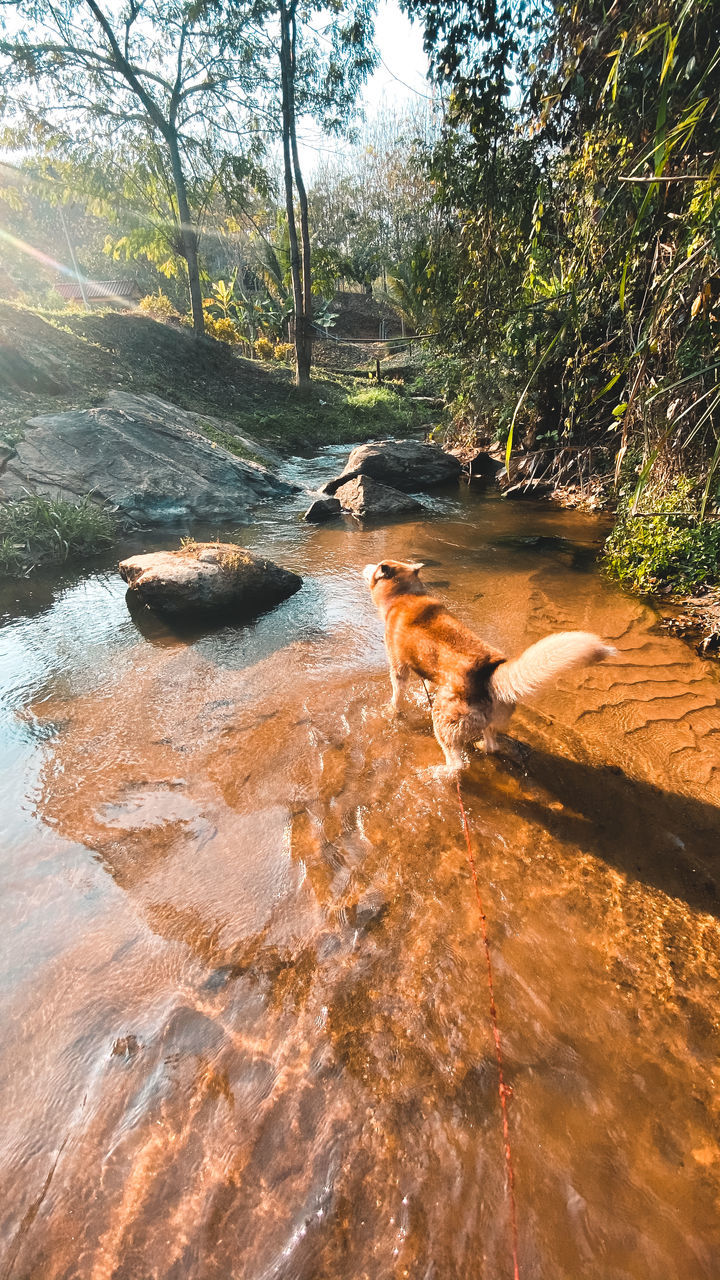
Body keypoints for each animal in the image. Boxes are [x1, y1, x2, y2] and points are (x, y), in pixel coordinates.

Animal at [361, 558, 614, 768]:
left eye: (377, 566)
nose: (364, 565)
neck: (404, 596)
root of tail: (490, 672)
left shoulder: (398, 666)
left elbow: (397, 694)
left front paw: (393, 711)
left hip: (443, 721)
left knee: (456, 763)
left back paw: (439, 773)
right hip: (489, 722)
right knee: (493, 745)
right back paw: (482, 746)